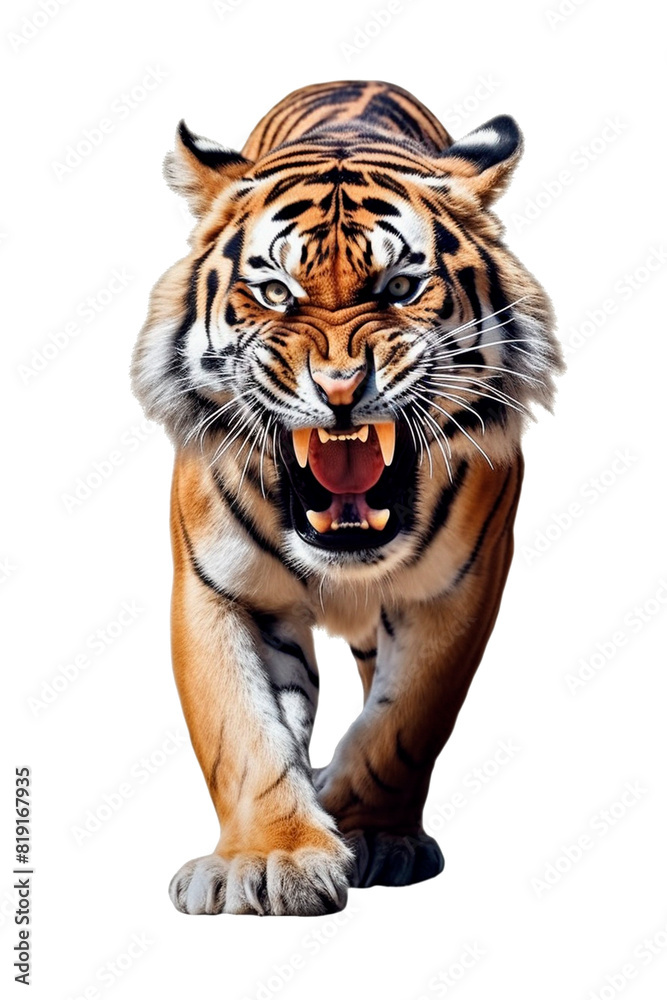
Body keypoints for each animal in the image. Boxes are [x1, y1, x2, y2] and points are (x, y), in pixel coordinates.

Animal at [131, 79, 562, 917]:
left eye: (400, 288)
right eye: (273, 291)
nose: (337, 389)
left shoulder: (458, 588)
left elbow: (402, 725)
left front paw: (370, 832)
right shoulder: (217, 590)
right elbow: (242, 732)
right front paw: (270, 857)